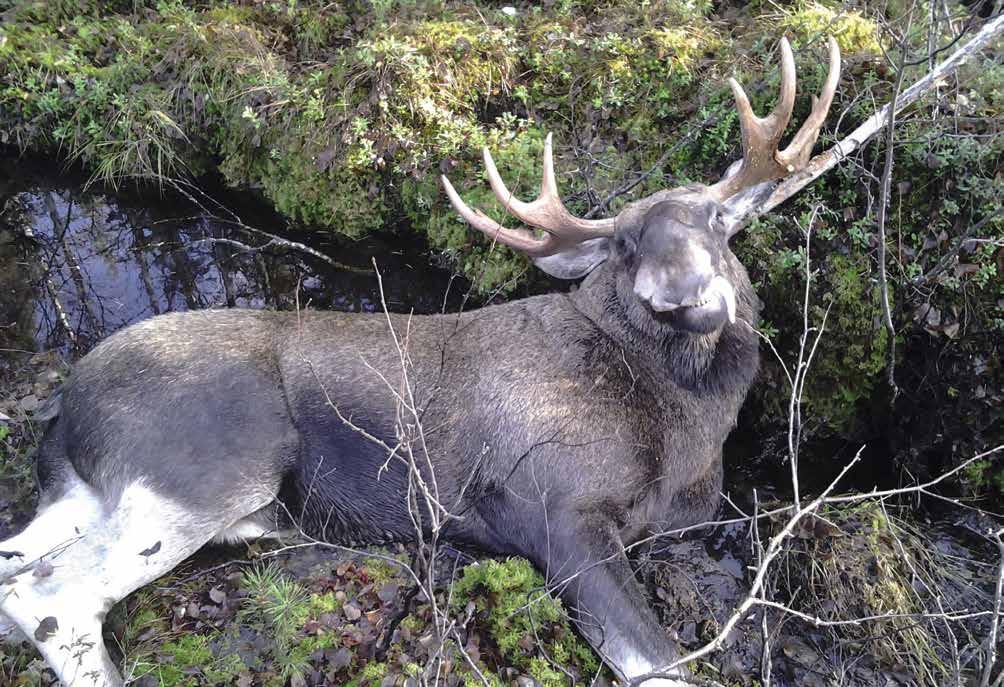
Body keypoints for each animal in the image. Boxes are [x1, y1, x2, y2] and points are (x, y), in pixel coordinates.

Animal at [0, 37, 839, 687]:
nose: (684, 296)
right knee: (50, 596)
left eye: (714, 220)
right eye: (627, 242)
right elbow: (659, 663)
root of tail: (71, 401)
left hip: (96, 495)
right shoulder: (558, 512)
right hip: (204, 467)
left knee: (18, 563)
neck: (679, 421)